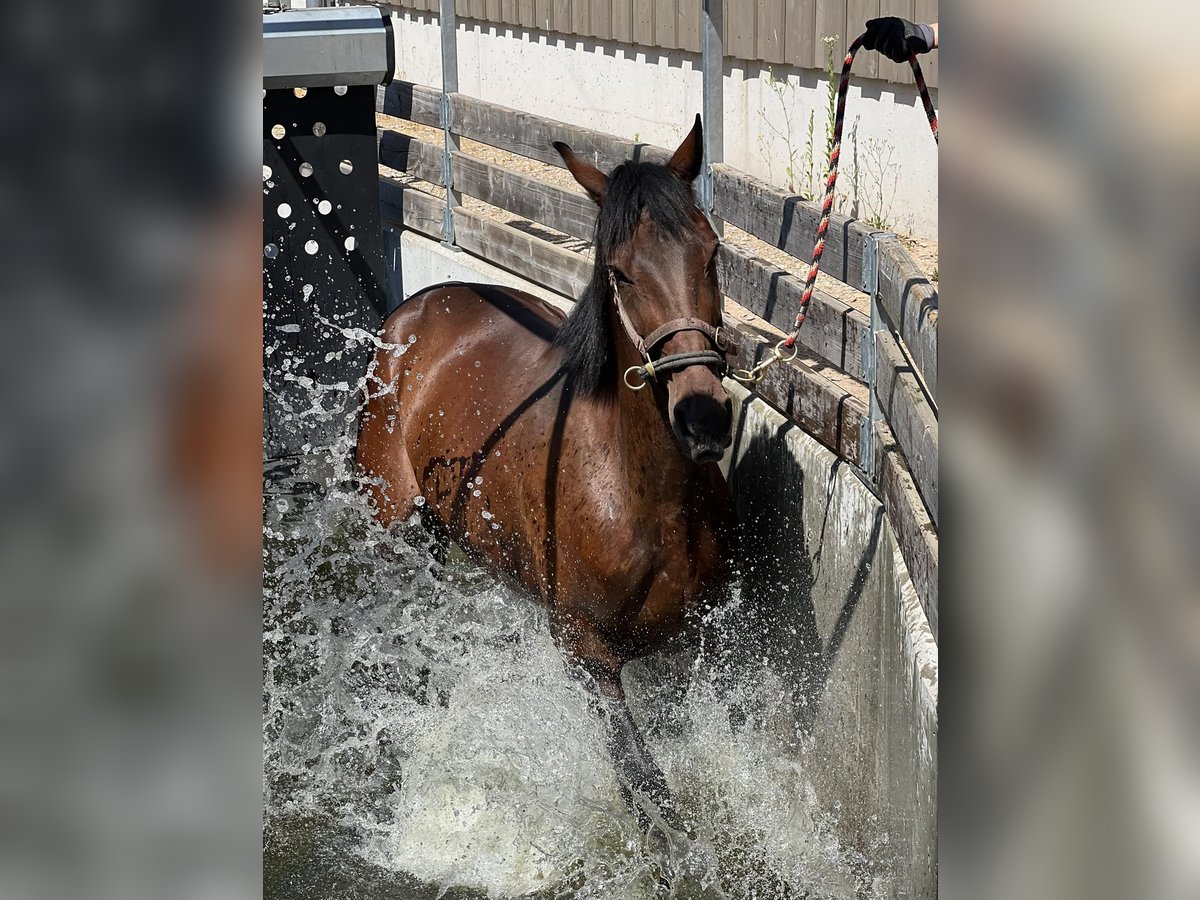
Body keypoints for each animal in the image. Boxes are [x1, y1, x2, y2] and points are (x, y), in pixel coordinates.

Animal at [350, 116, 734, 835]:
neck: (643, 494)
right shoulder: (586, 653)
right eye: (620, 273)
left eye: (712, 253)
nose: (703, 418)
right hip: (395, 525)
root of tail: (419, 307)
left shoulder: (688, 648)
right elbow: (646, 788)